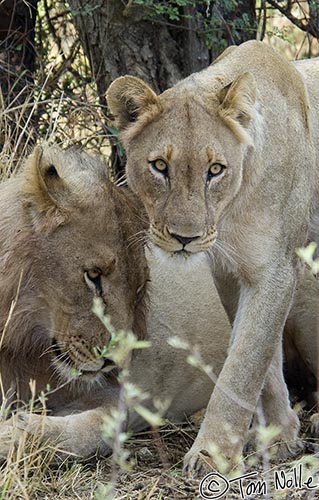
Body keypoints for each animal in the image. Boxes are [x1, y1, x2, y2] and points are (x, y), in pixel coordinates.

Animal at [0, 146, 318, 462]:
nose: (114, 360)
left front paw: (13, 433)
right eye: (93, 275)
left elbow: (88, 431)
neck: (26, 344)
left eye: (138, 287)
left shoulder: (120, 397)